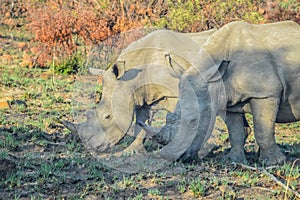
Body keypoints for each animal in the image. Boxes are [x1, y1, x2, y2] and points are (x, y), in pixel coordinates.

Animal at [150, 21, 300, 166]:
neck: (216, 81)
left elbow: (262, 130)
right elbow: (235, 132)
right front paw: (233, 160)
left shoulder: (264, 93)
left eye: (194, 121)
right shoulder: (228, 100)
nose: (172, 158)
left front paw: (273, 162)